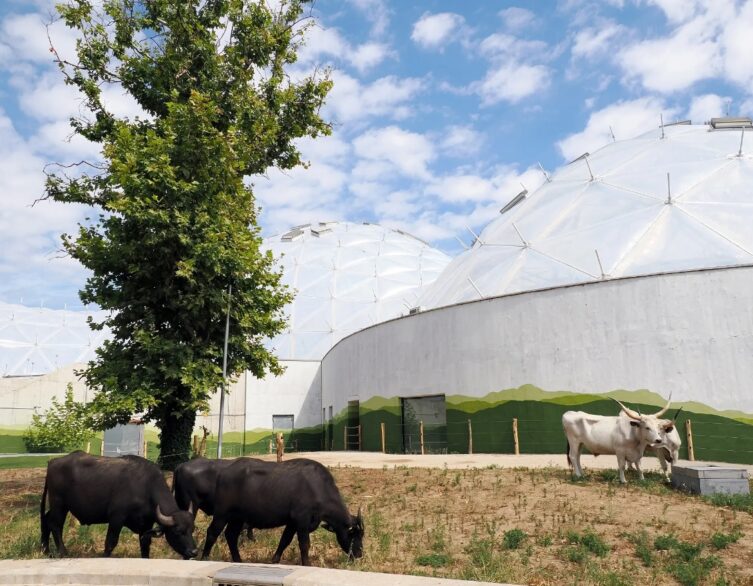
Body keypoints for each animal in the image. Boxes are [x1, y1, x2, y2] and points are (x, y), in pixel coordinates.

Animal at [41, 452, 198, 556]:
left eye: (192, 530)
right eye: (178, 532)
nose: (194, 552)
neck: (145, 487)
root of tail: (53, 462)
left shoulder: (146, 525)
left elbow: (145, 545)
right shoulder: (117, 518)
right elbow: (110, 543)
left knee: (46, 519)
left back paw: (45, 550)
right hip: (59, 503)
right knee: (55, 524)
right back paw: (62, 552)